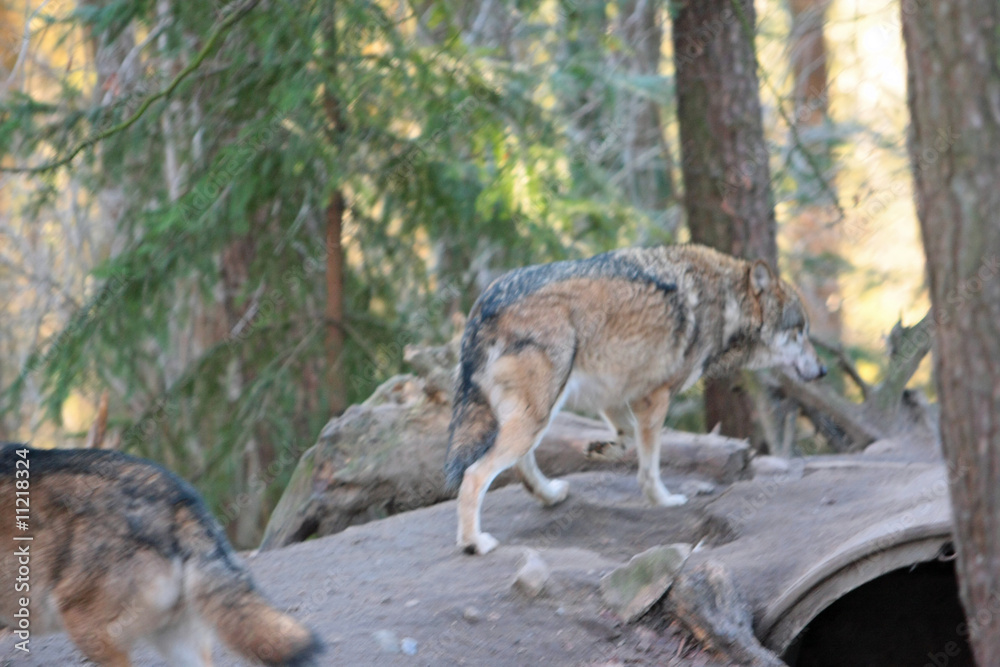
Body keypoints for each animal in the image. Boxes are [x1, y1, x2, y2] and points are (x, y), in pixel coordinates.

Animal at [444, 244, 826, 555]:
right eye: (800, 332)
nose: (822, 369)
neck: (726, 302)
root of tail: (484, 306)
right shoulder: (655, 398)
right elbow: (650, 467)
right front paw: (665, 501)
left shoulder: (617, 393)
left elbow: (627, 439)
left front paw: (602, 450)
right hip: (537, 416)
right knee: (474, 476)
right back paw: (474, 543)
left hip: (537, 416)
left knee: (522, 465)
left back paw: (550, 495)